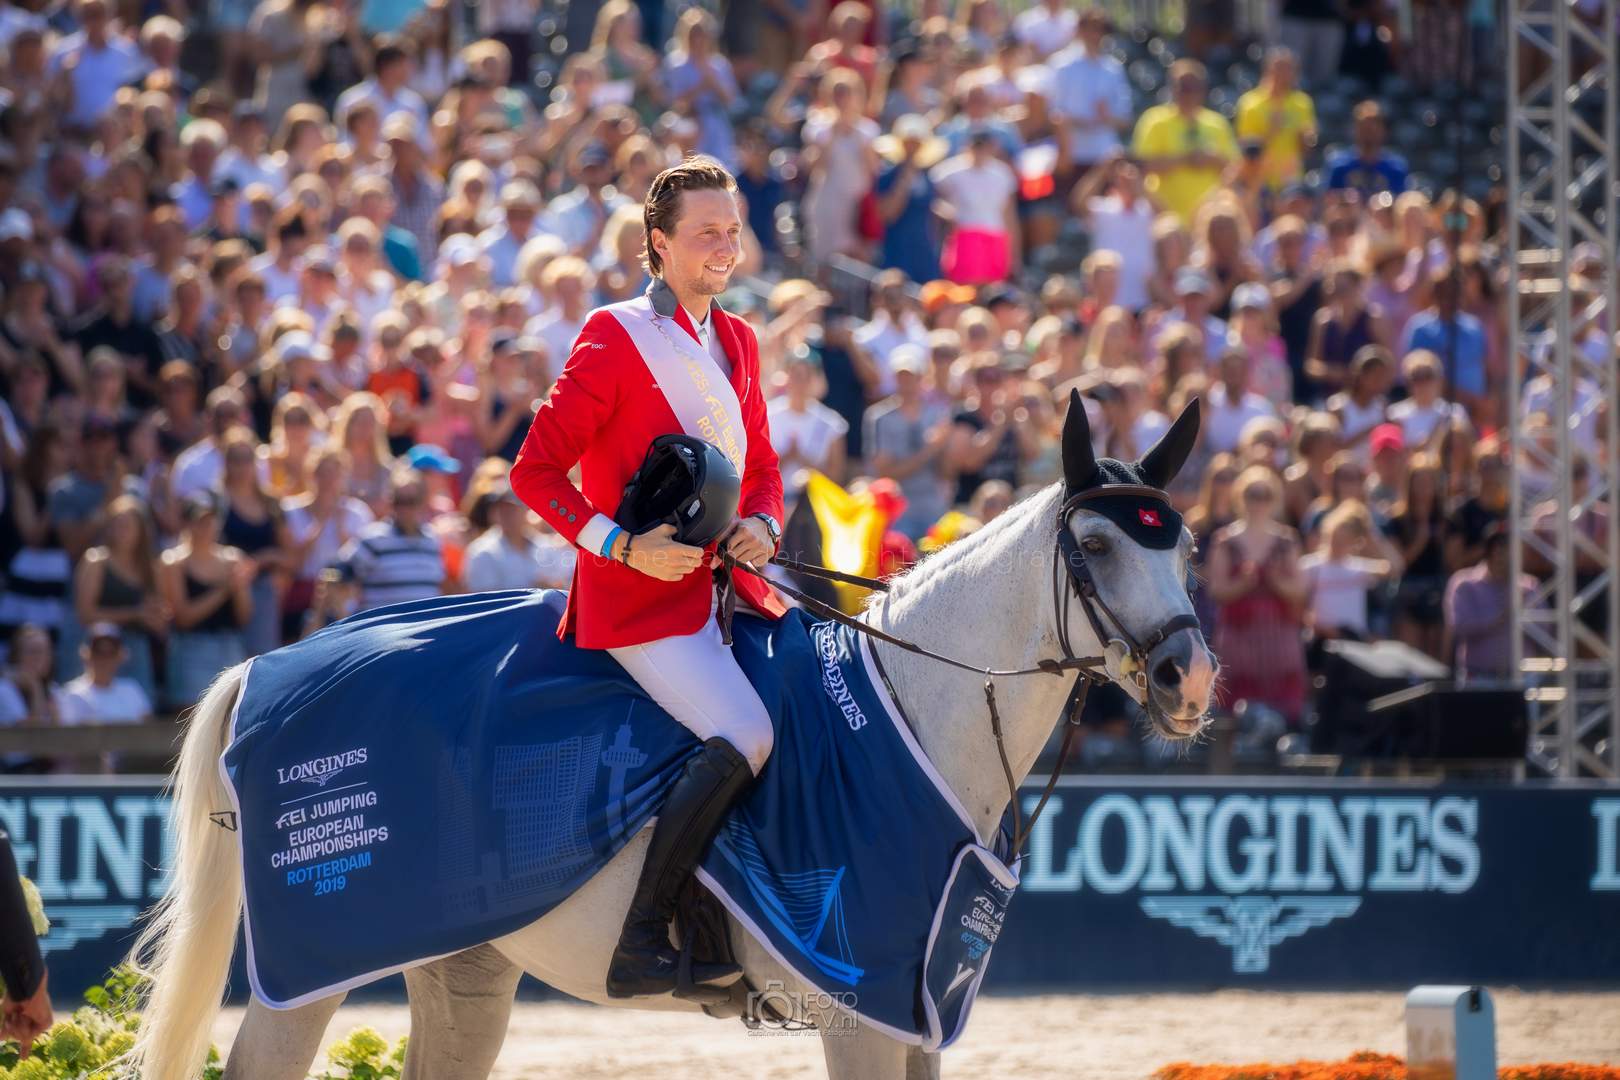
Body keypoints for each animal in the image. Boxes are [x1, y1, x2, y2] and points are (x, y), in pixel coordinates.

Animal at [127, 393, 1218, 1080]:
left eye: (1186, 545)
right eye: (1097, 544)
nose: (1190, 678)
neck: (917, 707)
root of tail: (266, 670)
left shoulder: (915, 1018)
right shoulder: (855, 1010)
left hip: (463, 961)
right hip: (309, 968)